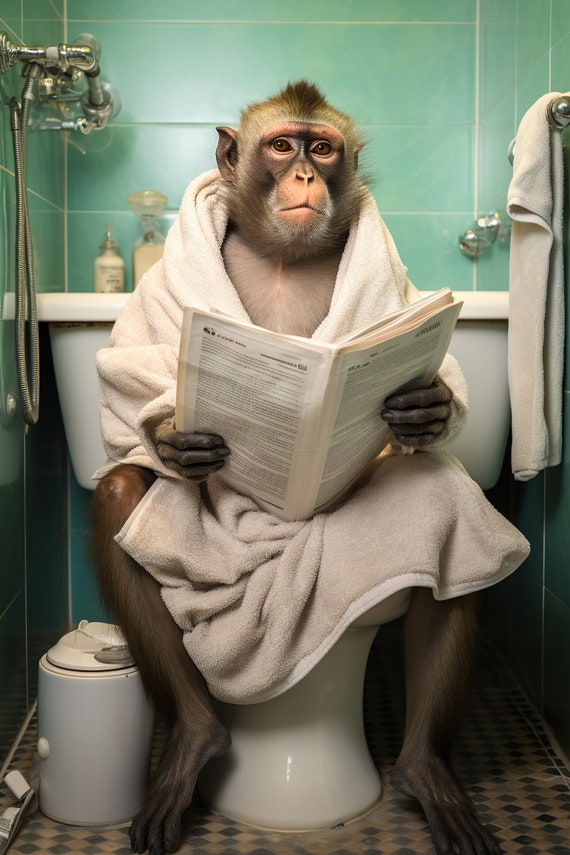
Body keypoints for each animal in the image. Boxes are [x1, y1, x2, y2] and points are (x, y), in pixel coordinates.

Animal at [90, 82, 518, 855]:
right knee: (118, 489)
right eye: (282, 145)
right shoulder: (160, 294)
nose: (304, 177)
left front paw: (428, 408)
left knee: (448, 503)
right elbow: (126, 392)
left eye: (322, 148)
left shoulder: (399, 296)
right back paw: (194, 742)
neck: (283, 254)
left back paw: (427, 773)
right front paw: (172, 437)